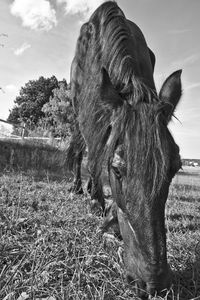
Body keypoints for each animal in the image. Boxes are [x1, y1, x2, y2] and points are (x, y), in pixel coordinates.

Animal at [66, 1, 182, 298]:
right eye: (117, 170)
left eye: (175, 168)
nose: (153, 282)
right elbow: (94, 155)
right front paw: (98, 205)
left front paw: (109, 217)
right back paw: (80, 188)